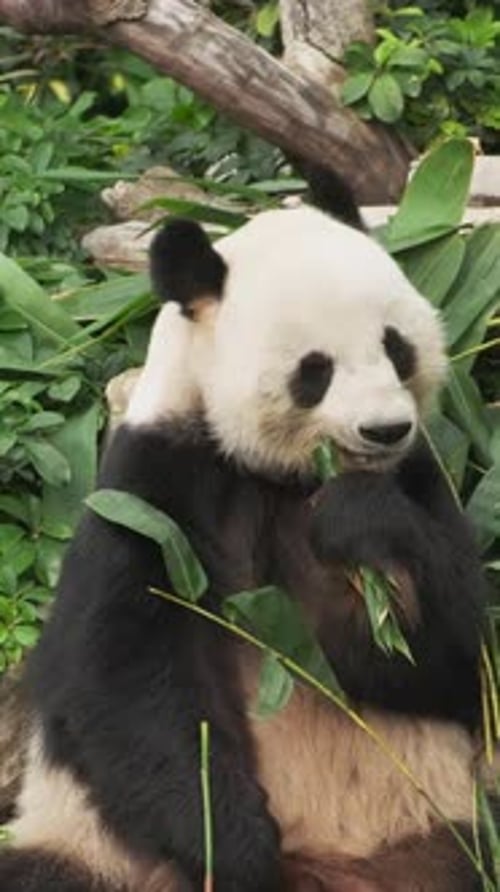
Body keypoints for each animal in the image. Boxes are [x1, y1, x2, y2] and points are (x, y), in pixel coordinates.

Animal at [0, 174, 488, 892]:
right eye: (315, 369)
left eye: (396, 346)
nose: (384, 430)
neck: (277, 475)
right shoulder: (154, 486)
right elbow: (126, 674)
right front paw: (236, 850)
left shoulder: (419, 480)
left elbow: (451, 656)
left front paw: (358, 525)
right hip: (98, 852)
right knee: (42, 872)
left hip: (433, 824)